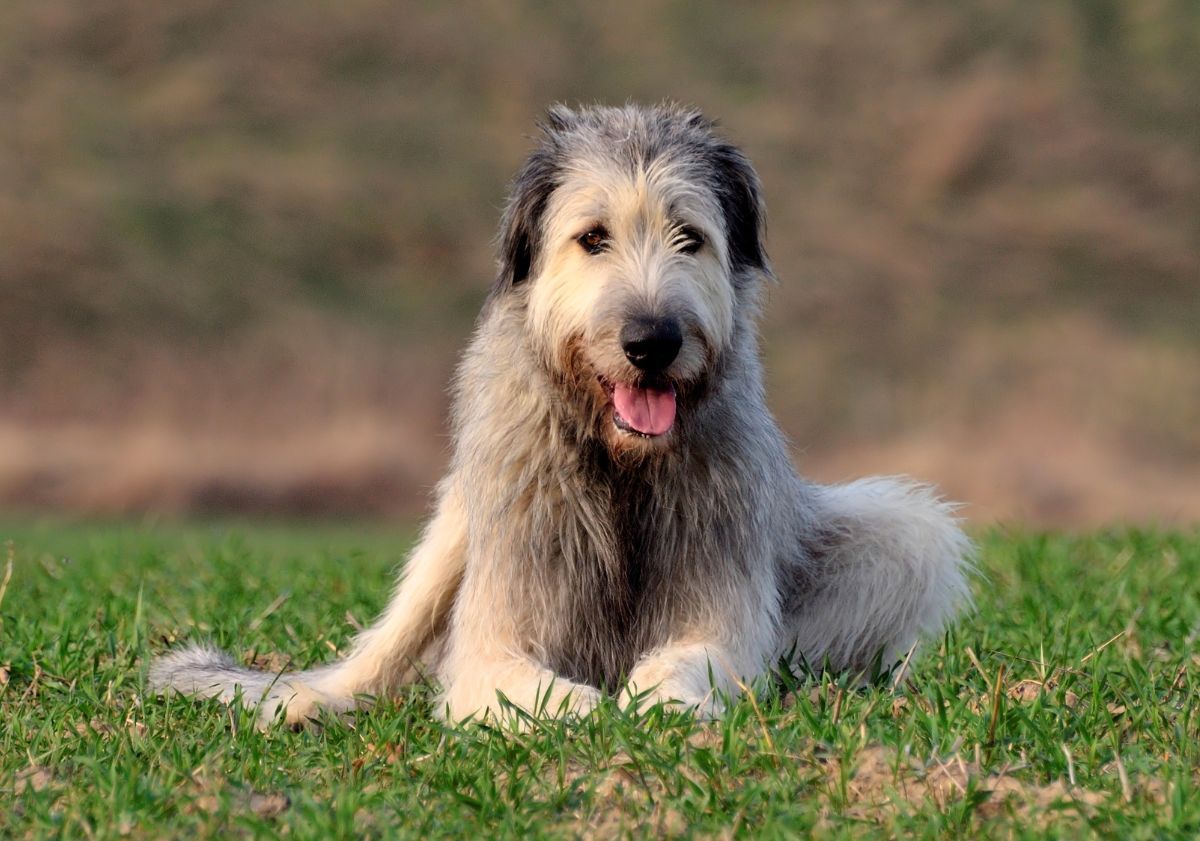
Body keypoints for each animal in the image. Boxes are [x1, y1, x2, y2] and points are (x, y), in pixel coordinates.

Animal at [150, 103, 974, 719]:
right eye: (593, 237)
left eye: (689, 236)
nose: (652, 341)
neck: (619, 457)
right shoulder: (503, 600)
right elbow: (502, 673)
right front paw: (577, 707)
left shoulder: (721, 583)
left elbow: (705, 654)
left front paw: (664, 698)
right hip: (459, 525)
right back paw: (302, 698)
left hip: (890, 534)